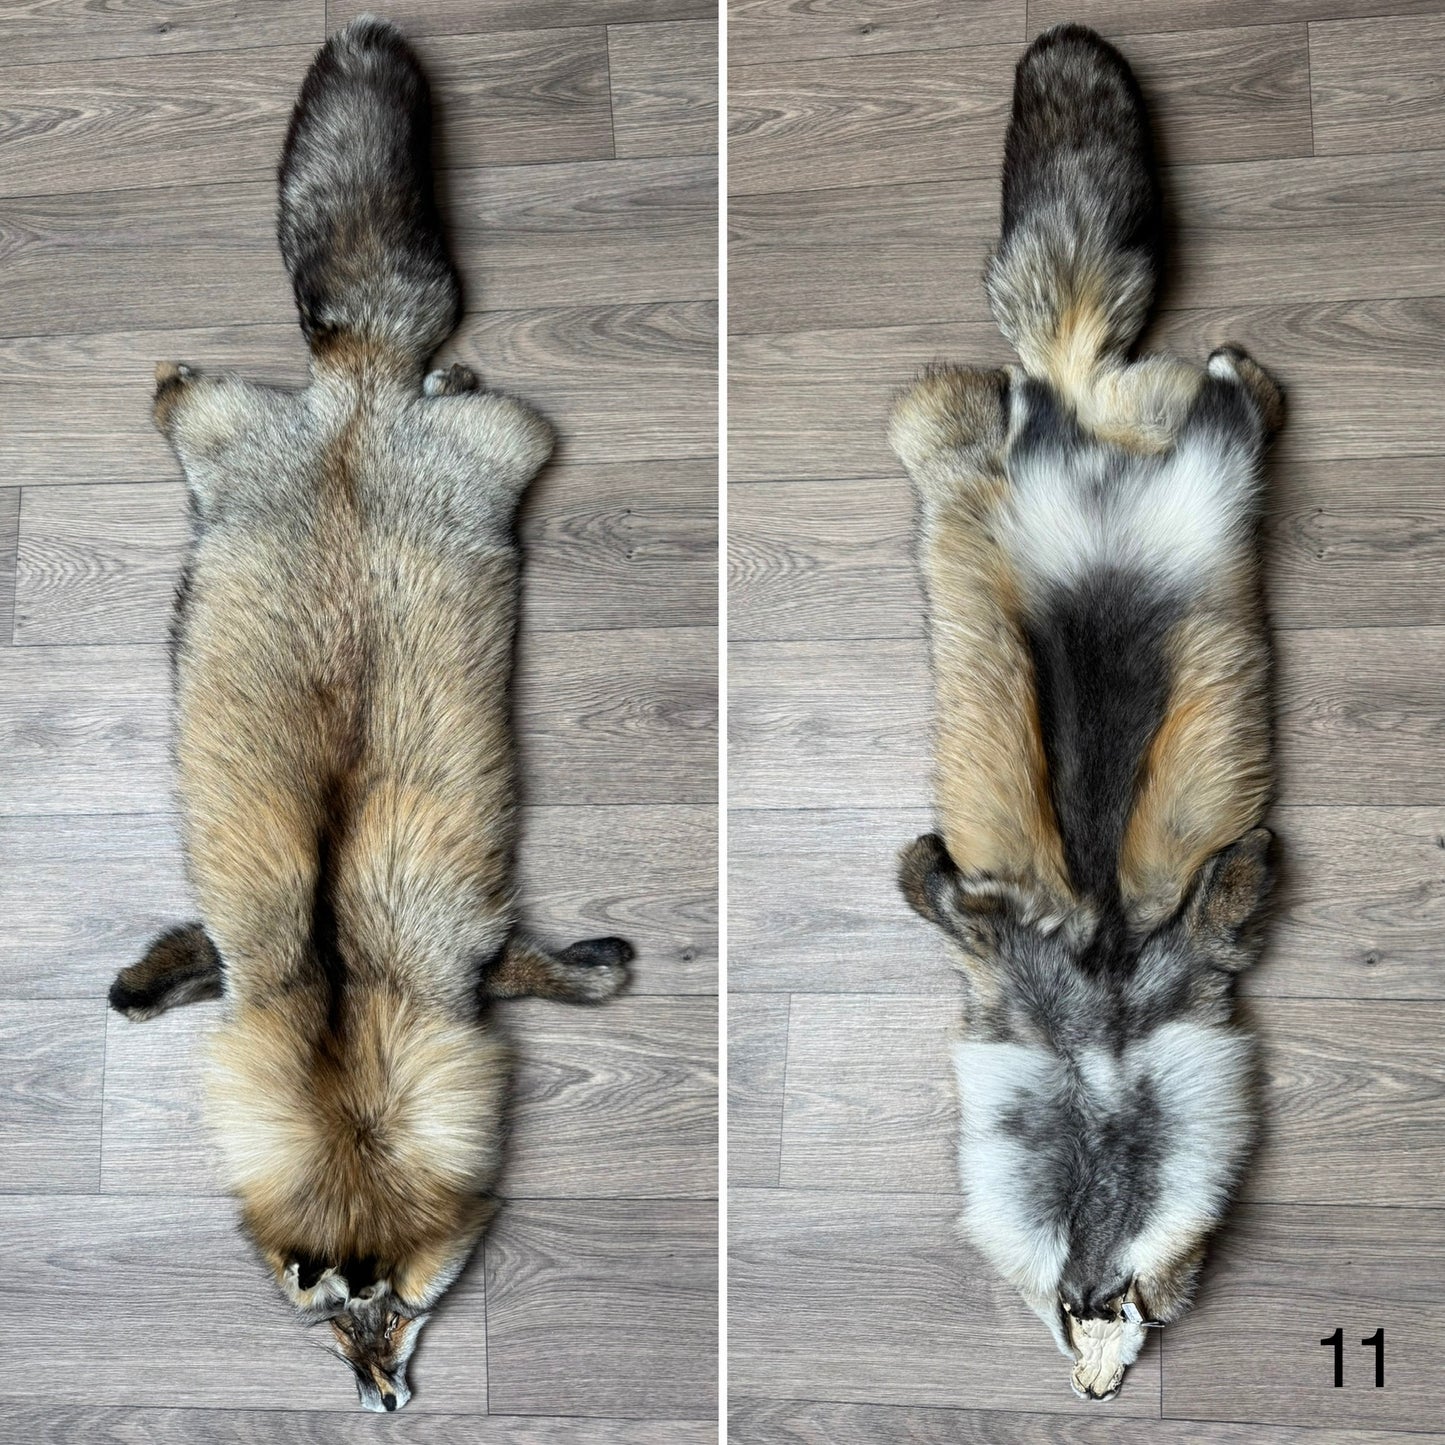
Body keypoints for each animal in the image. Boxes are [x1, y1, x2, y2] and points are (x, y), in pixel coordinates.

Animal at [106, 18, 633, 1412]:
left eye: (396, 1311)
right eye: (327, 1325)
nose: (384, 1404)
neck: (341, 993)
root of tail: (354, 390)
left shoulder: (468, 957)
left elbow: (551, 971)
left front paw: (601, 968)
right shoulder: (251, 955)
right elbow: (176, 969)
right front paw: (140, 985)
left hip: (510, 443)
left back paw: (432, 365)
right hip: (227, 441)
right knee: (187, 382)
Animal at [887, 25, 1283, 1402]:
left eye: (1109, 1323)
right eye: (1075, 1326)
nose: (1096, 1375)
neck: (1102, 1051)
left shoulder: (1181, 962)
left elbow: (1221, 888)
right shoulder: (1011, 954)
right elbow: (951, 895)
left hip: (1206, 498)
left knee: (1194, 409)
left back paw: (1225, 371)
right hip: (1163, 489)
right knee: (1090, 409)